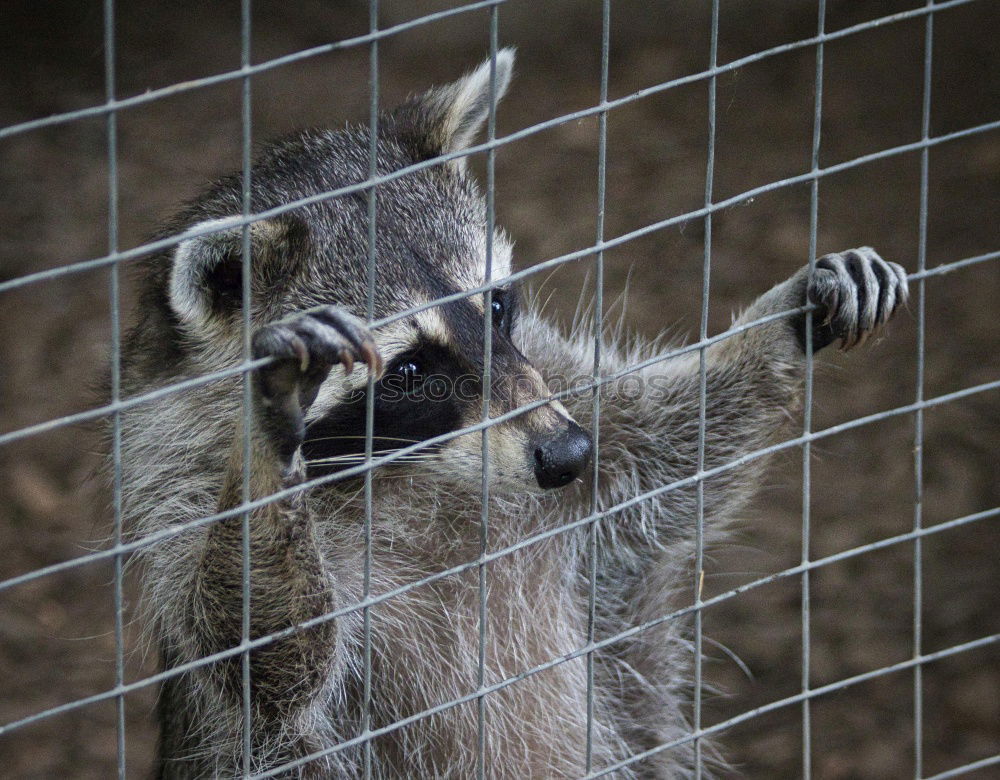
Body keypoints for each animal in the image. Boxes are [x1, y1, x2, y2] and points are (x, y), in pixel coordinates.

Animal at [117, 51, 908, 776]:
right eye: (409, 369)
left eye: (496, 306)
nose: (567, 455)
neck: (412, 470)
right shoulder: (175, 497)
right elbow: (262, 658)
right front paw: (264, 445)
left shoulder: (551, 389)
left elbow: (672, 450)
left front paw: (780, 324)